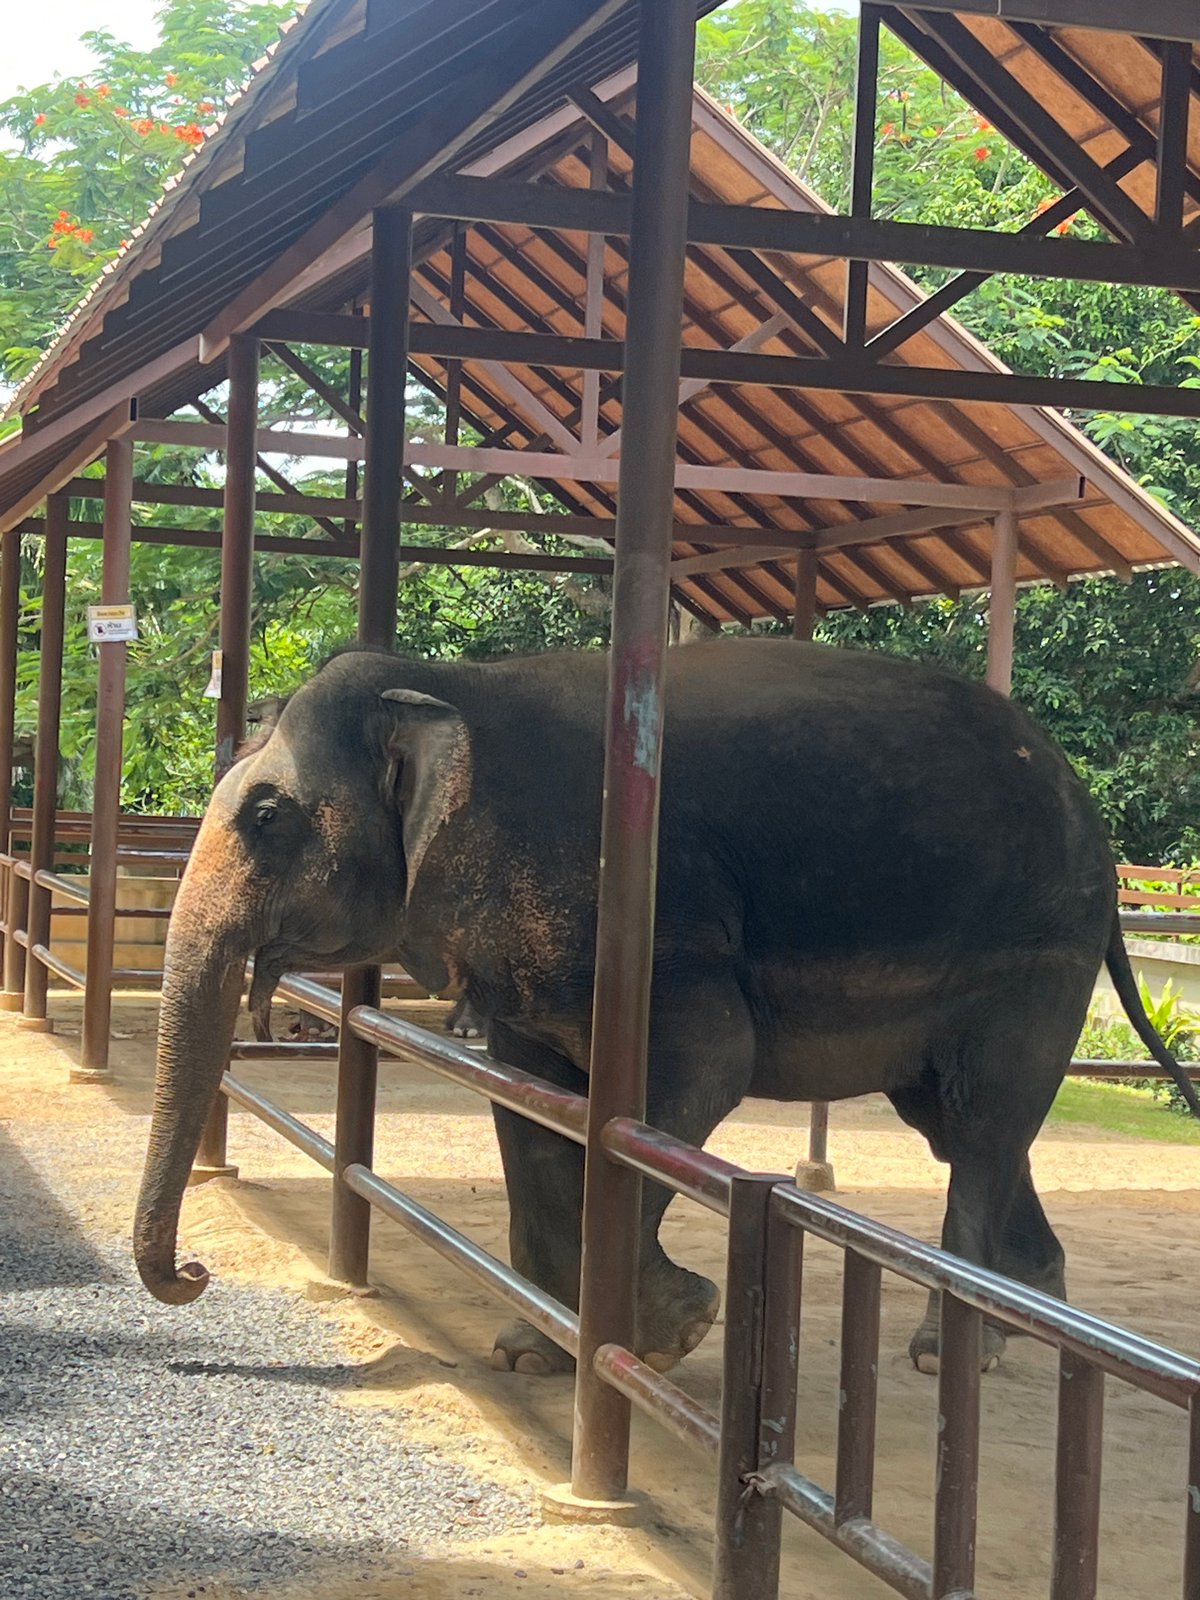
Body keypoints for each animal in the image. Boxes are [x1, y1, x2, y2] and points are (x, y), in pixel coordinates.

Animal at [134, 638, 1193, 1375]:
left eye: (267, 817)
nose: (193, 1276)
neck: (457, 686)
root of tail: (1094, 824)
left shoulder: (657, 923)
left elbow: (705, 1069)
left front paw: (673, 1331)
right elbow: (528, 1098)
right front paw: (533, 1353)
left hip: (1037, 951)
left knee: (981, 1122)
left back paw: (953, 1354)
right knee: (962, 1124)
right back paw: (1037, 1313)